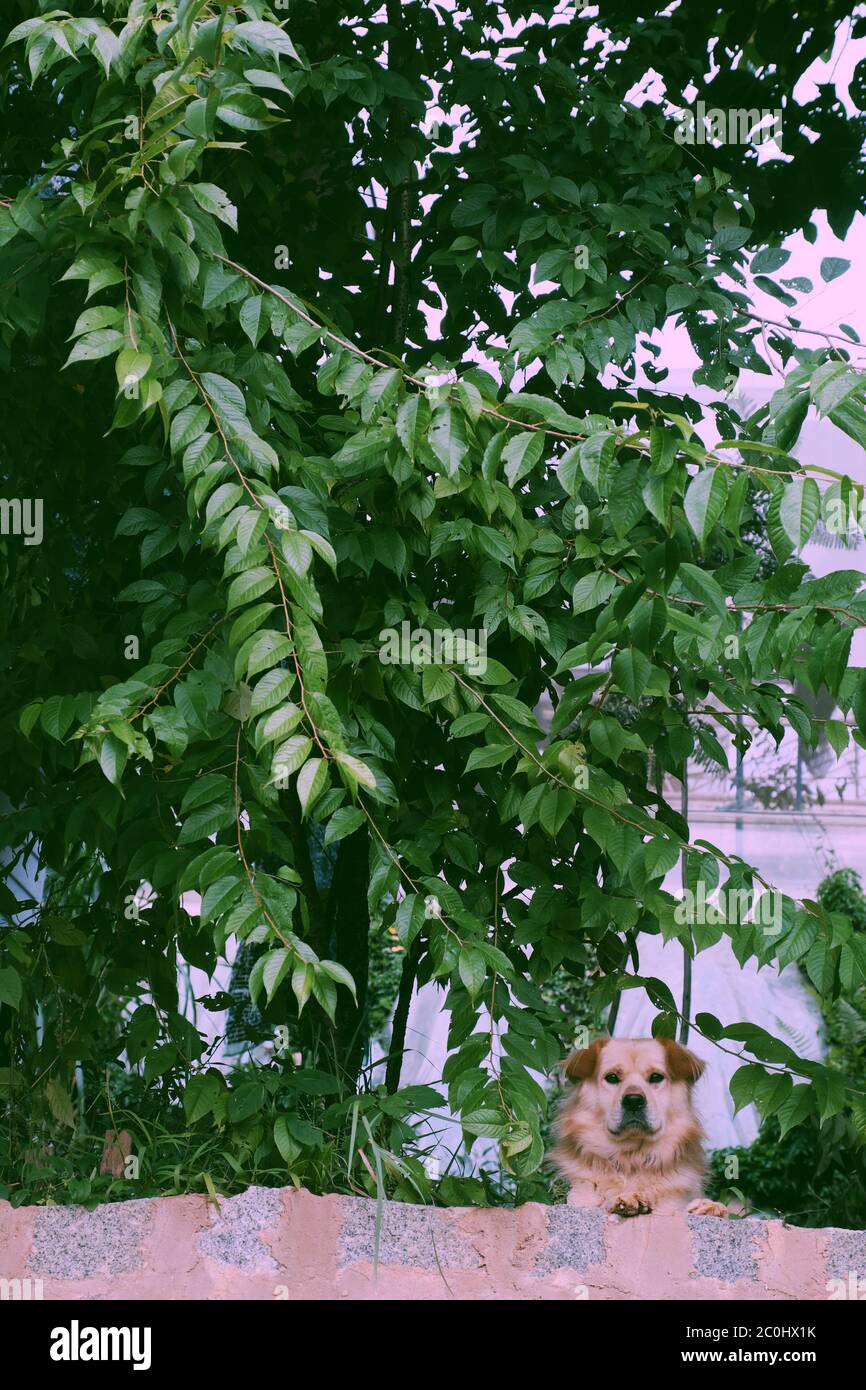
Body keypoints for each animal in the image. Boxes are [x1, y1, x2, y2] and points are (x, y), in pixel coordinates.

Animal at [553, 1034, 728, 1217]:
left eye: (656, 1077)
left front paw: (710, 1207)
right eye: (612, 1077)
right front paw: (625, 1200)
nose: (633, 1100)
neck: (632, 1160)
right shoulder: (580, 1197)